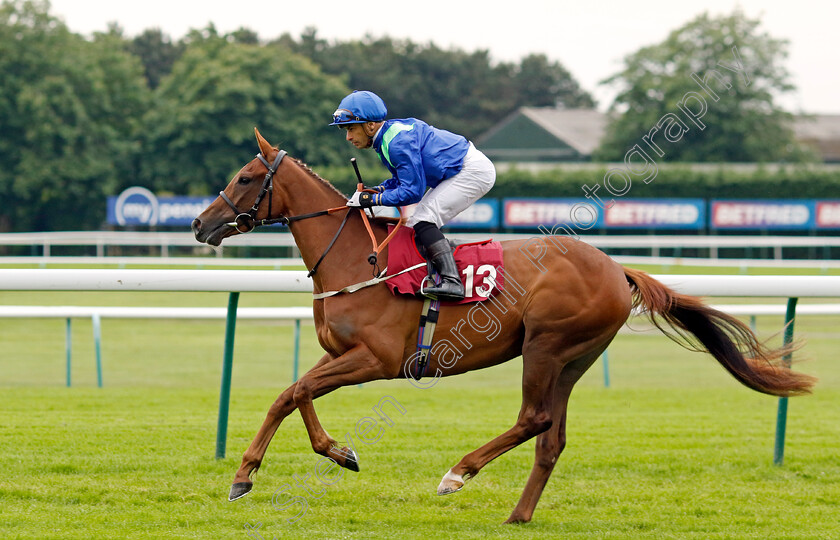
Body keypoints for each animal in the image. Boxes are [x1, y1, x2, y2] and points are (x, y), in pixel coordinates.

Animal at [194, 129, 816, 524]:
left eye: (246, 176)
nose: (201, 224)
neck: (356, 260)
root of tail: (617, 269)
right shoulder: (339, 353)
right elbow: (290, 394)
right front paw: (283, 466)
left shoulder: (376, 360)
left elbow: (296, 391)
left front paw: (275, 466)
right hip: (573, 360)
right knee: (552, 438)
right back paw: (519, 514)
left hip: (545, 345)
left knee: (533, 419)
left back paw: (458, 473)